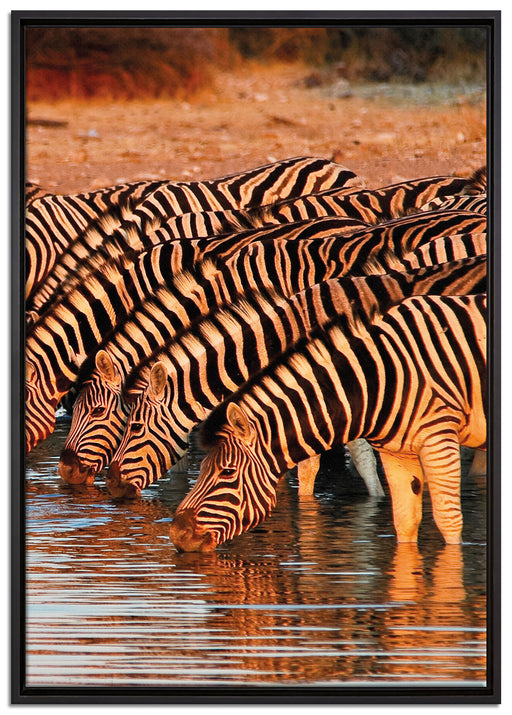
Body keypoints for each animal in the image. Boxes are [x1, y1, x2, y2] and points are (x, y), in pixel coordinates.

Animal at [169, 293, 487, 551]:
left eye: (227, 473)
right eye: (203, 469)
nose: (176, 534)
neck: (374, 379)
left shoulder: (439, 437)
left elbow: (448, 520)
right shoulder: (397, 453)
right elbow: (405, 521)